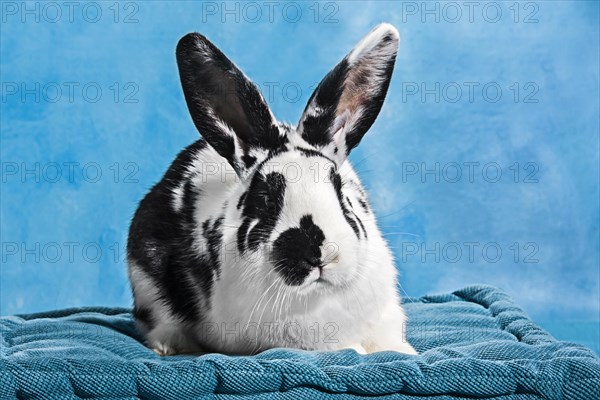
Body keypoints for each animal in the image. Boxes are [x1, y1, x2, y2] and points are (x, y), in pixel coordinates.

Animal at [126, 23, 418, 356]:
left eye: (341, 191)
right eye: (265, 198)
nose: (317, 253)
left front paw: (402, 351)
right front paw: (355, 349)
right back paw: (169, 345)